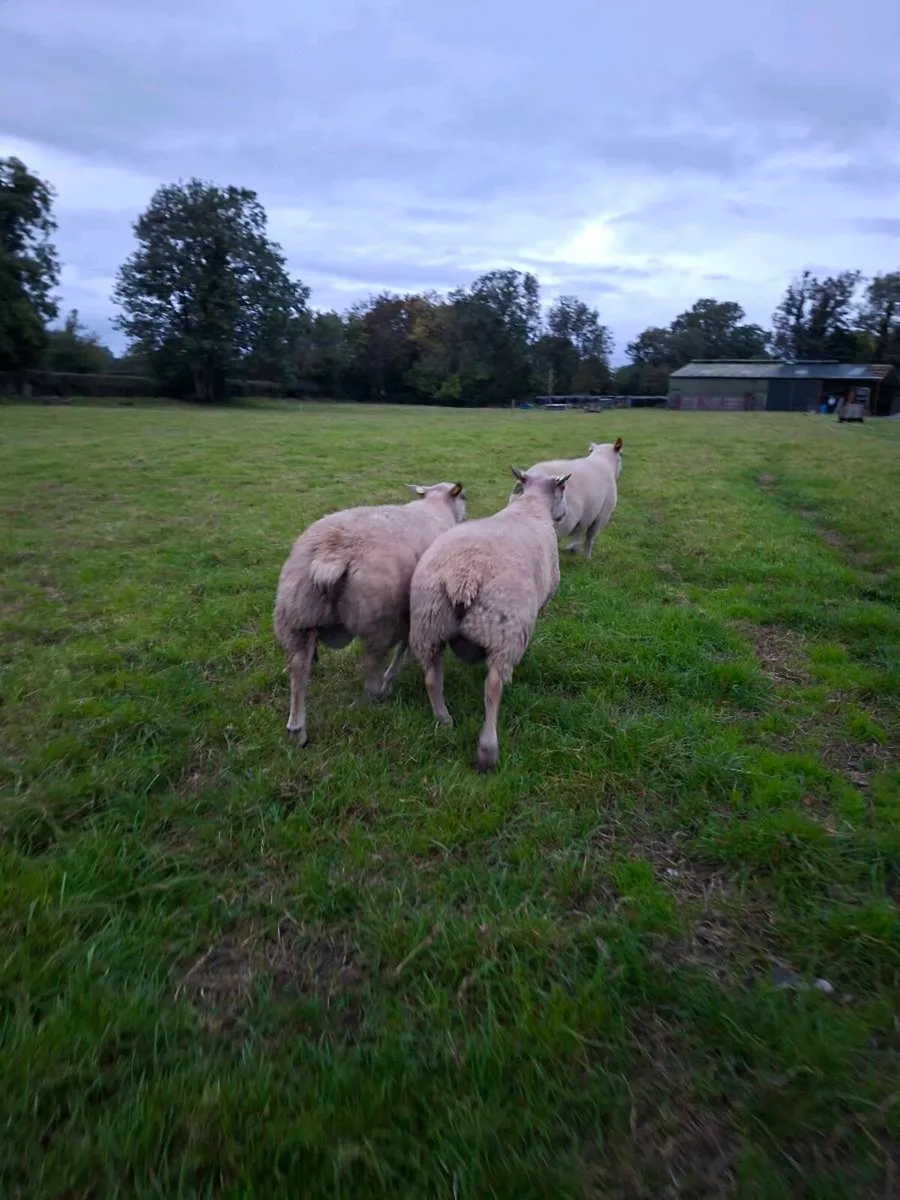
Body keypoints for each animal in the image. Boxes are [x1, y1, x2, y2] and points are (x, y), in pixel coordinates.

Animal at [273, 481, 467, 746]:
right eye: (464, 497)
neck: (435, 506)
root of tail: (330, 557)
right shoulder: (410, 611)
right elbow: (404, 646)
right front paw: (391, 676)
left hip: (296, 617)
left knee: (298, 668)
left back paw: (297, 730)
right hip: (378, 618)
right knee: (371, 662)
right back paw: (379, 695)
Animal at [409, 467, 569, 773]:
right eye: (563, 490)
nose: (563, 515)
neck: (530, 507)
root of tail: (463, 577)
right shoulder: (539, 606)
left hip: (429, 625)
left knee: (432, 678)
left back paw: (444, 719)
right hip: (504, 631)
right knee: (493, 687)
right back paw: (487, 749)